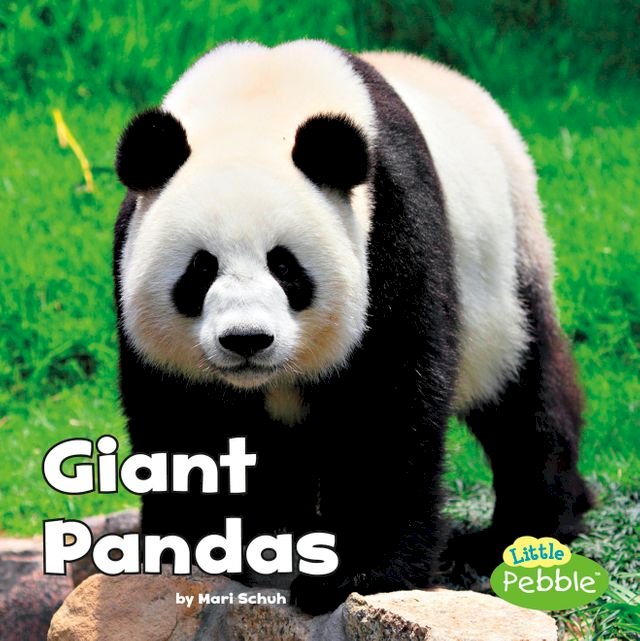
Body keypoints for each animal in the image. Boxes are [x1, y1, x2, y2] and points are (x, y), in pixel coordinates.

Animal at [113, 39, 593, 614]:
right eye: (201, 270)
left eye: (285, 266)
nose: (247, 340)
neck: (258, 104)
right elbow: (182, 421)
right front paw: (193, 549)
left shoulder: (390, 224)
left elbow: (386, 401)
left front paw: (354, 575)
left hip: (505, 263)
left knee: (524, 388)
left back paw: (523, 530)